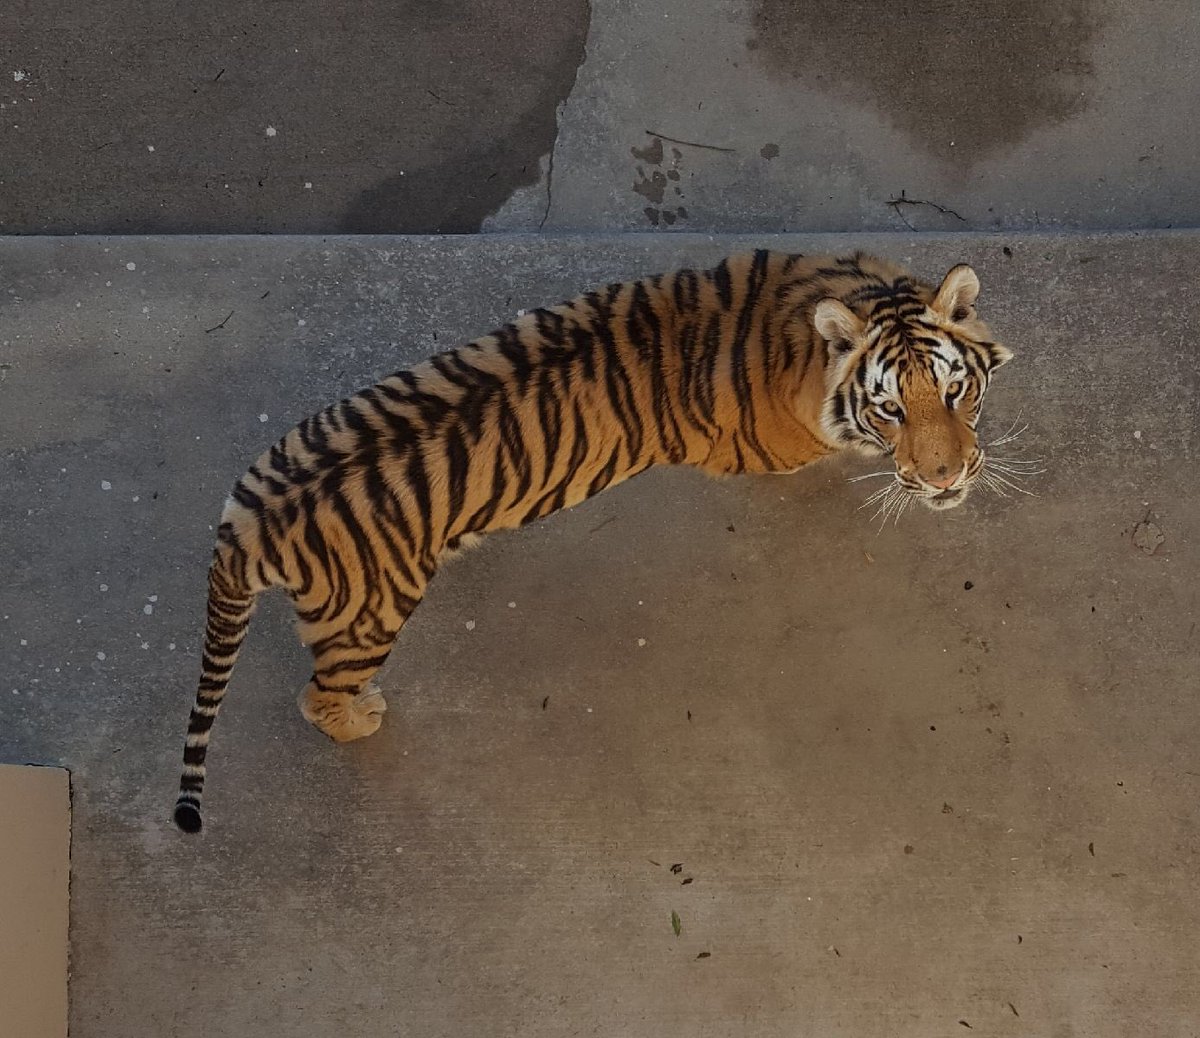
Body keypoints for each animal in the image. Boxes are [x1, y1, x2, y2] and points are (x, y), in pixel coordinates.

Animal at [173, 250, 1013, 832]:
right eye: (890, 409)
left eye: (954, 390)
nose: (945, 481)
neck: (806, 311)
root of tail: (244, 520)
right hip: (368, 619)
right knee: (319, 695)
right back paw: (361, 716)